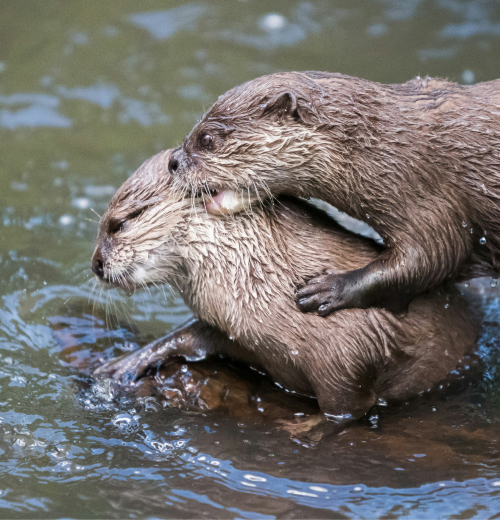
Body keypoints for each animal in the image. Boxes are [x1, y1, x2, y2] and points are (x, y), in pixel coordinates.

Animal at [91, 148, 476, 420]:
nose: (95, 263)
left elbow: (348, 409)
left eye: (122, 222)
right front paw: (125, 363)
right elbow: (190, 335)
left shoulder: (347, 354)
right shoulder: (237, 329)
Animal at [165, 72, 500, 316]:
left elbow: (433, 256)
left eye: (207, 139)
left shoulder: (426, 192)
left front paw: (330, 289)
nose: (172, 161)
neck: (389, 147)